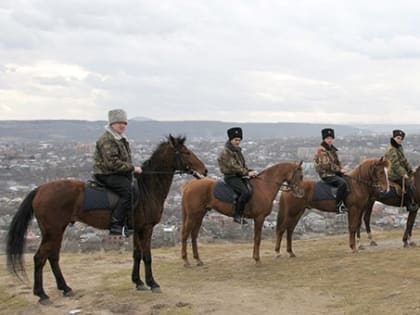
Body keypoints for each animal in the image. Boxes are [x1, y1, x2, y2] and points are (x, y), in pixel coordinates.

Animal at [7, 135, 208, 304]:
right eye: (186, 152)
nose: (204, 170)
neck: (147, 189)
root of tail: (40, 189)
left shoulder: (137, 229)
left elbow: (137, 255)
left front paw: (138, 282)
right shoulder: (146, 228)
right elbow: (147, 256)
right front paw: (152, 283)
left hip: (56, 231)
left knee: (53, 257)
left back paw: (65, 288)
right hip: (53, 231)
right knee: (39, 258)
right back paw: (42, 295)